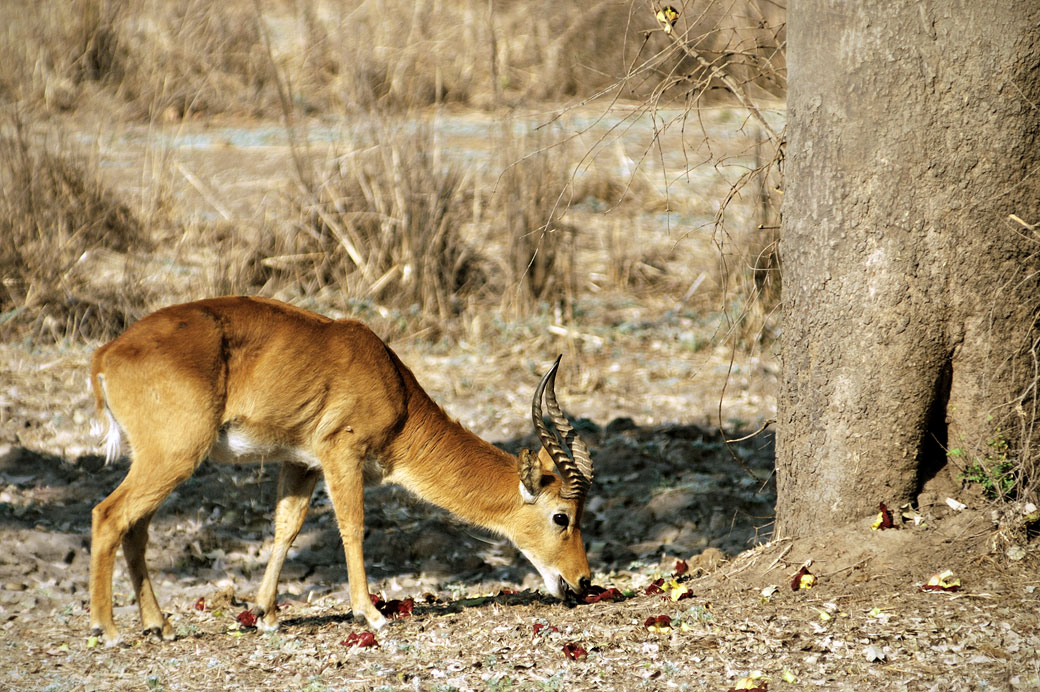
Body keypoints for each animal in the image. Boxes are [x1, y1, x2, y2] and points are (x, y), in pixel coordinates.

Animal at [87, 295, 594, 641]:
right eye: (561, 516)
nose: (583, 581)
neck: (395, 390)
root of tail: (107, 353)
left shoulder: (301, 462)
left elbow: (286, 528)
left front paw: (266, 614)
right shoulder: (341, 455)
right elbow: (352, 526)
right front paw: (369, 613)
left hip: (162, 462)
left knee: (135, 528)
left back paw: (159, 625)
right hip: (174, 457)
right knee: (107, 515)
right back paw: (105, 629)